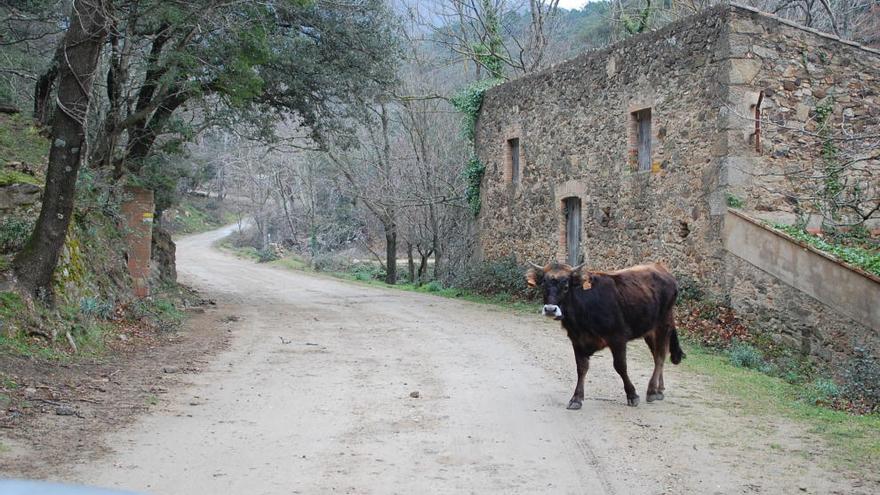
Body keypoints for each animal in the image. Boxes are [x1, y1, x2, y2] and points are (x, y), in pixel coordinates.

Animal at [524, 262, 684, 408]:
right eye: (543, 285)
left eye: (566, 286)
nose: (550, 310)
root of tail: (661, 269)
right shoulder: (577, 340)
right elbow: (581, 368)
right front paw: (576, 398)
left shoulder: (618, 338)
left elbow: (620, 366)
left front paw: (632, 395)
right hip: (649, 331)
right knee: (657, 355)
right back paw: (659, 389)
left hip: (663, 325)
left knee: (660, 356)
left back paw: (651, 391)